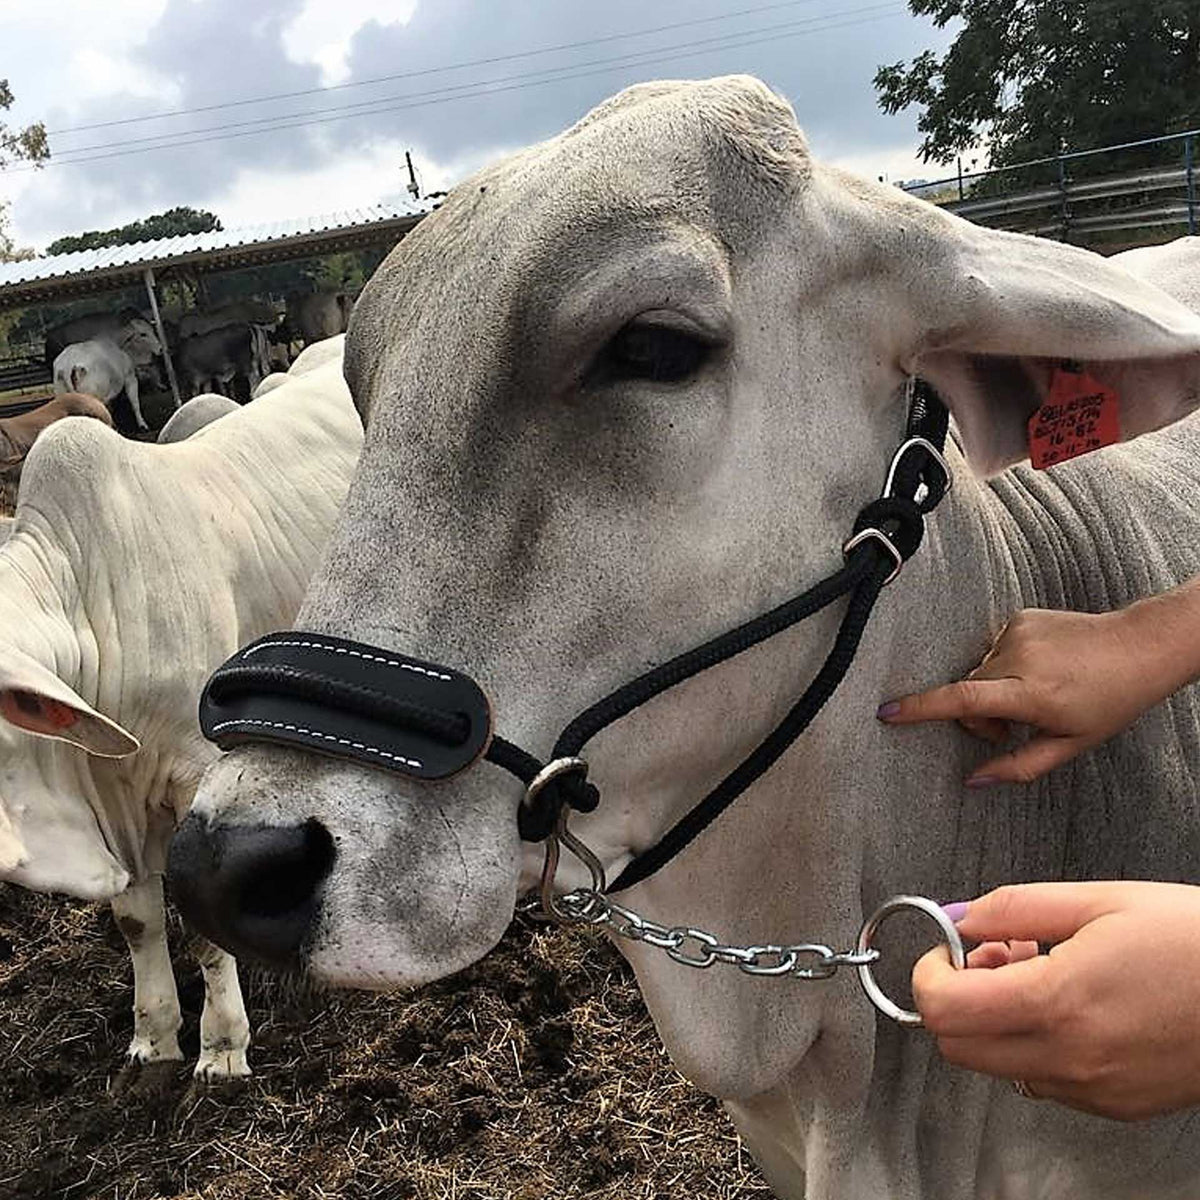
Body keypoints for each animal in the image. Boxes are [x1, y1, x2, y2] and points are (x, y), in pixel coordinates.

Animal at [0, 351, 361, 1086]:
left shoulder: (197, 776)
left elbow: (199, 923)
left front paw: (222, 1048)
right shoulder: (120, 803)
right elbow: (138, 921)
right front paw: (155, 1038)